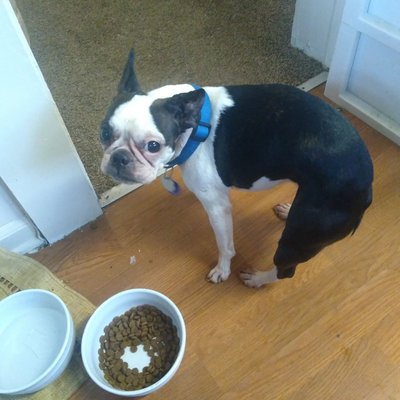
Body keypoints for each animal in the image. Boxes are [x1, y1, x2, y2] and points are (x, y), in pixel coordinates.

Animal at [100, 50, 373, 288]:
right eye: (103, 132)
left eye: (153, 145)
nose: (120, 158)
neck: (195, 128)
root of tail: (367, 185)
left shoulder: (216, 206)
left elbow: (225, 247)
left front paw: (222, 270)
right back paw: (287, 211)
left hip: (299, 236)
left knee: (286, 271)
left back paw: (258, 279)